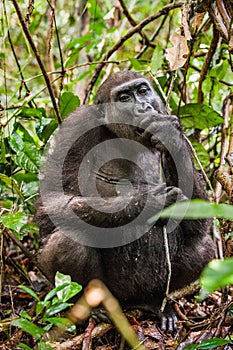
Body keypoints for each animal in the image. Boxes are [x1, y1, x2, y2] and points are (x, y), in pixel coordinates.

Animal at [35, 70, 216, 330]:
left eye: (142, 91)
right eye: (124, 98)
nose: (143, 107)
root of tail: (132, 303)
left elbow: (199, 217)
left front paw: (169, 135)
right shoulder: (77, 127)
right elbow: (51, 204)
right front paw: (146, 204)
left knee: (202, 245)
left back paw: (158, 303)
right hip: (113, 294)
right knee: (70, 239)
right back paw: (92, 307)